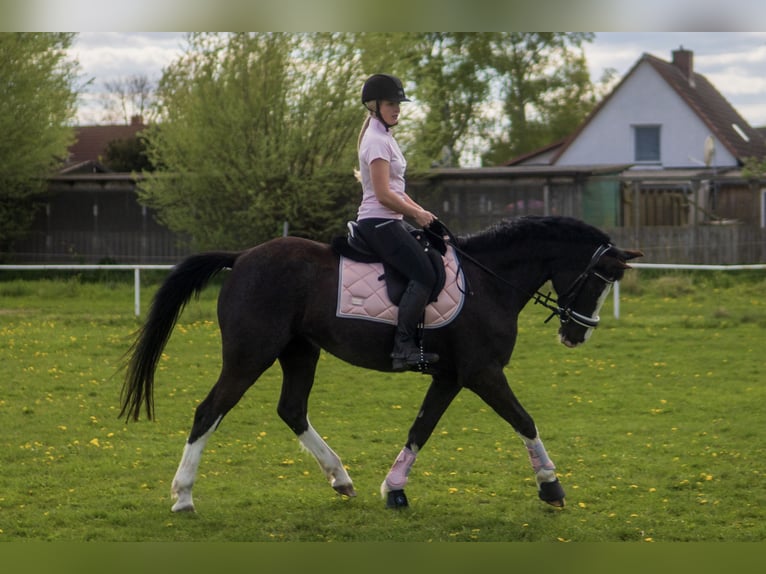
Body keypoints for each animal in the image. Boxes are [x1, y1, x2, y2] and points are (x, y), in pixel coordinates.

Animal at [120, 215, 642, 512]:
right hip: (251, 355)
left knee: (292, 410)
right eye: (601, 277)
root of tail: (243, 256)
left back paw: (341, 479)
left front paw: (393, 490)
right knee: (209, 411)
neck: (489, 281)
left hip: (300, 351)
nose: (577, 333)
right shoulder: (482, 372)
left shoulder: (451, 377)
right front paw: (551, 488)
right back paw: (183, 496)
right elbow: (524, 420)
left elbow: (420, 429)